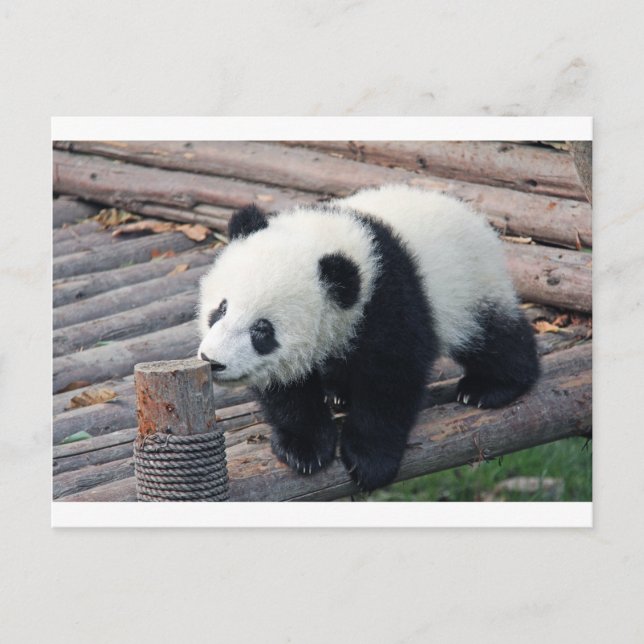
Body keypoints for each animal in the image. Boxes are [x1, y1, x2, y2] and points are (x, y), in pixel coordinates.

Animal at [197, 185, 539, 492]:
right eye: (221, 308)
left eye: (262, 330)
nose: (213, 361)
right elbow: (288, 388)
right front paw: (304, 447)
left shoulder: (389, 297)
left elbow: (391, 378)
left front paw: (369, 460)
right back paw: (339, 392)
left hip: (470, 284)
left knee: (491, 336)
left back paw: (490, 387)